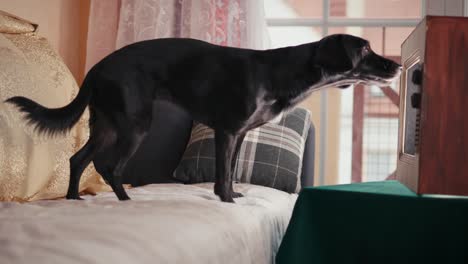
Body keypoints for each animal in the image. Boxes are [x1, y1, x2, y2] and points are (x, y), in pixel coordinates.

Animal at [6, 33, 402, 202]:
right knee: (110, 166)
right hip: (134, 123)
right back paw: (123, 198)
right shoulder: (227, 130)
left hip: (106, 125)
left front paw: (232, 194)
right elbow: (223, 172)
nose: (398, 65)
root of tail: (97, 68)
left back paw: (74, 198)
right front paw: (226, 200)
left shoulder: (239, 135)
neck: (282, 71)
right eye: (366, 48)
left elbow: (231, 170)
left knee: (78, 159)